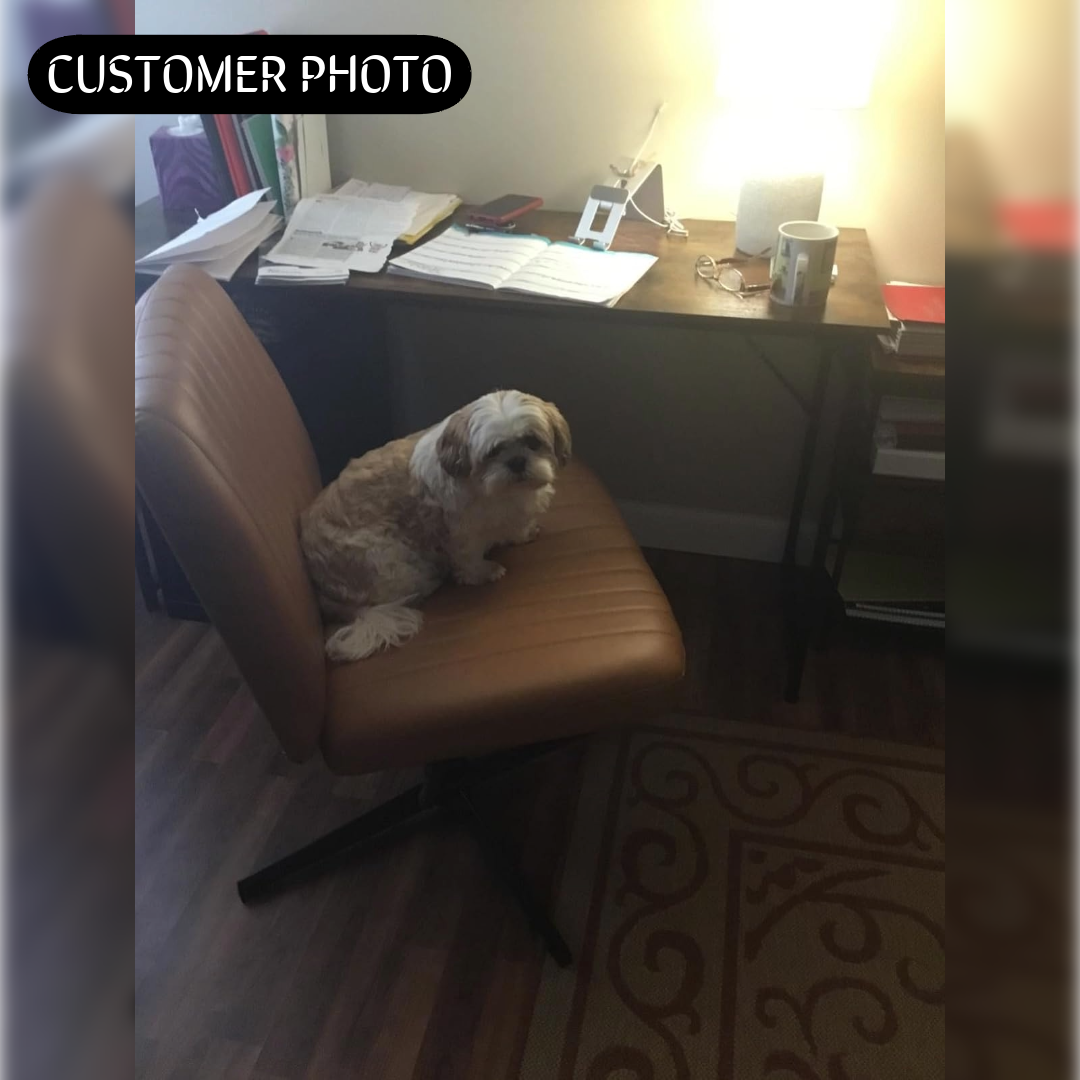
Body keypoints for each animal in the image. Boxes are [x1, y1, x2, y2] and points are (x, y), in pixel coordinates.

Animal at [300, 390, 571, 662]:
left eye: (532, 442)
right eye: (494, 451)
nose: (517, 461)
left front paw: (523, 533)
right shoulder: (461, 531)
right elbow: (469, 559)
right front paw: (484, 572)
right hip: (388, 560)